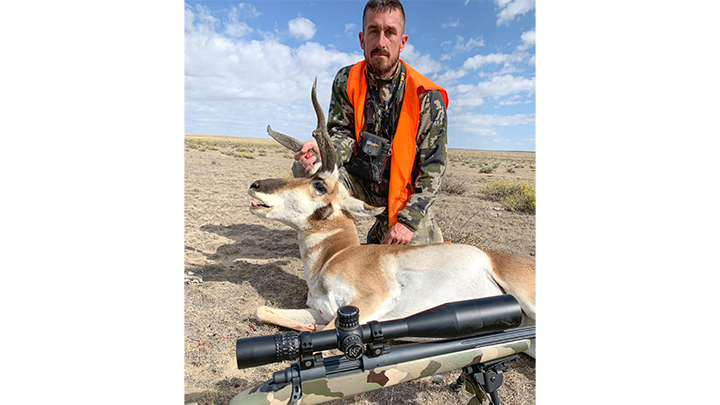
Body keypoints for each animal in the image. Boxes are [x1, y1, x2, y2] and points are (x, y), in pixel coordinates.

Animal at [248, 78, 536, 354]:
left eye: (319, 184)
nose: (255, 185)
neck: (336, 255)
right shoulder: (319, 311)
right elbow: (263, 310)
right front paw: (303, 328)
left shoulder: (376, 298)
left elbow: (328, 332)